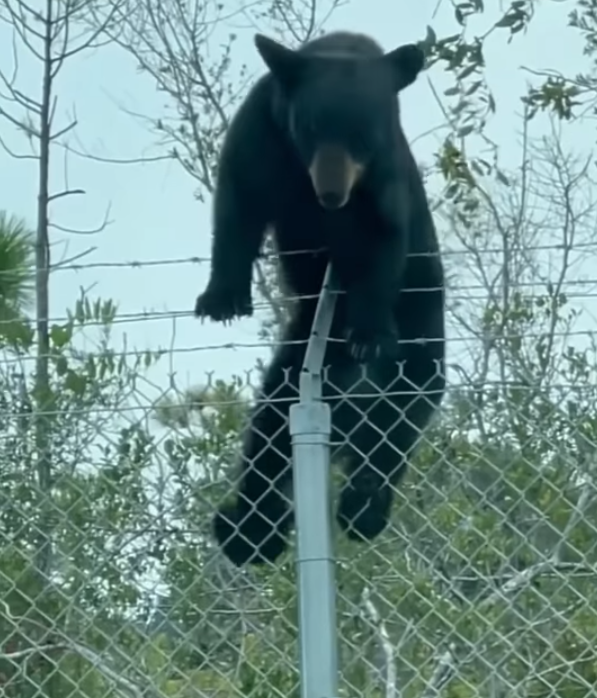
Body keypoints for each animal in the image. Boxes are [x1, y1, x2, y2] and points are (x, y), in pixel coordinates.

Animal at [193, 31, 444, 564]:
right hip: (296, 362)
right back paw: (249, 529)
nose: (331, 195)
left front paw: (368, 332)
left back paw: (362, 508)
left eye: (364, 135)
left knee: (396, 426)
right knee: (269, 437)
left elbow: (382, 240)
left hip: (420, 347)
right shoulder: (260, 130)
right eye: (309, 128)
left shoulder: (385, 174)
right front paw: (220, 299)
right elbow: (238, 206)